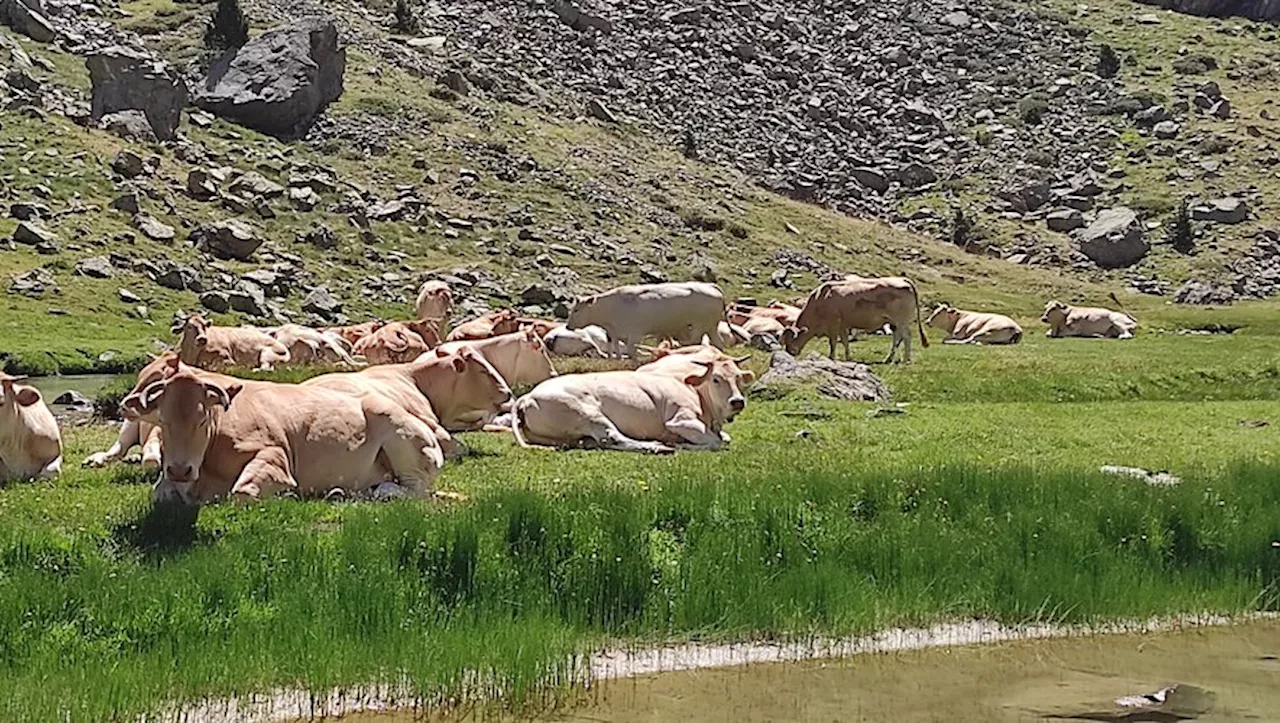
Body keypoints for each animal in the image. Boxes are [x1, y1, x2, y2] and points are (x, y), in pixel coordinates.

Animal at [137, 358, 448, 504]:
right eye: (162, 420)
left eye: (203, 420)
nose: (180, 470)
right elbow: (160, 493)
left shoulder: (275, 457)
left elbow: (243, 492)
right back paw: (340, 492)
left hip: (400, 435)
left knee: (415, 489)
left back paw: (381, 491)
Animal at [512, 358, 747, 450]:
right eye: (716, 379)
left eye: (739, 377)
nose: (737, 402)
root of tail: (528, 395)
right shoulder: (680, 419)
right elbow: (716, 441)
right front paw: (682, 444)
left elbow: (724, 438)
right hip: (587, 413)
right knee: (612, 437)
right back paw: (658, 447)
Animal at [565, 281, 727, 360]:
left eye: (576, 310)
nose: (568, 326)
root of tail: (711, 286)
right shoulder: (615, 333)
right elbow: (617, 349)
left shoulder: (634, 334)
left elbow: (632, 351)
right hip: (711, 327)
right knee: (718, 344)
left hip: (699, 326)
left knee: (695, 342)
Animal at [778, 278, 931, 363]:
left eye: (791, 341)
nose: (790, 353)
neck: (819, 300)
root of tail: (903, 279)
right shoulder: (842, 325)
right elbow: (845, 341)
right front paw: (848, 358)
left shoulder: (834, 323)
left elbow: (833, 342)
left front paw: (831, 358)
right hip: (894, 322)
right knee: (897, 338)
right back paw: (888, 359)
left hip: (901, 320)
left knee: (906, 337)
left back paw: (906, 359)